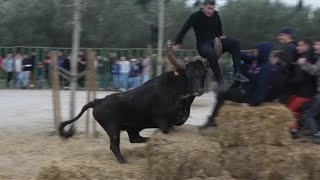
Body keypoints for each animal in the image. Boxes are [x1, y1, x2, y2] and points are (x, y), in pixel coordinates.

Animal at [58, 59, 206, 164]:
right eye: (189, 75)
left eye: (204, 74)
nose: (199, 90)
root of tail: (98, 101)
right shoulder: (163, 121)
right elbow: (165, 131)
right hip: (112, 128)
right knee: (114, 146)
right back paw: (124, 161)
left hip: (131, 127)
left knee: (135, 139)